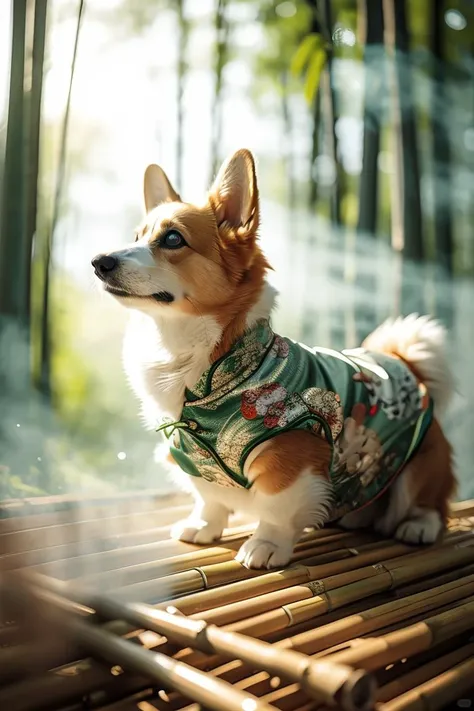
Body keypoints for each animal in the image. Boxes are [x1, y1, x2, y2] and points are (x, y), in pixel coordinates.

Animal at [90, 147, 458, 572]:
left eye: (172, 238)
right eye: (136, 237)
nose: (99, 261)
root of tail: (404, 363)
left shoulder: (290, 458)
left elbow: (277, 511)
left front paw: (264, 545)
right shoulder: (196, 462)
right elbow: (209, 499)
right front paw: (202, 526)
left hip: (420, 465)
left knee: (429, 502)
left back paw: (417, 526)